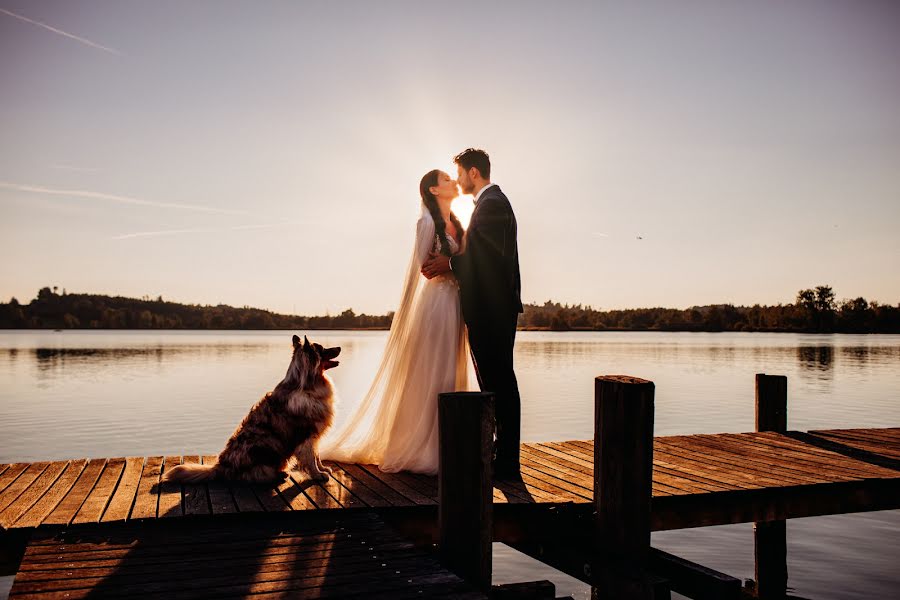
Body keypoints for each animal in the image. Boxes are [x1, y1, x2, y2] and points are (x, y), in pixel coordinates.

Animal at [162, 336, 342, 486]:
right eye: (322, 349)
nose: (339, 347)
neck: (305, 386)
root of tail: (220, 468)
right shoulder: (306, 435)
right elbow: (311, 459)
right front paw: (318, 475)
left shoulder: (314, 435)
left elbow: (317, 456)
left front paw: (323, 469)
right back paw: (278, 475)